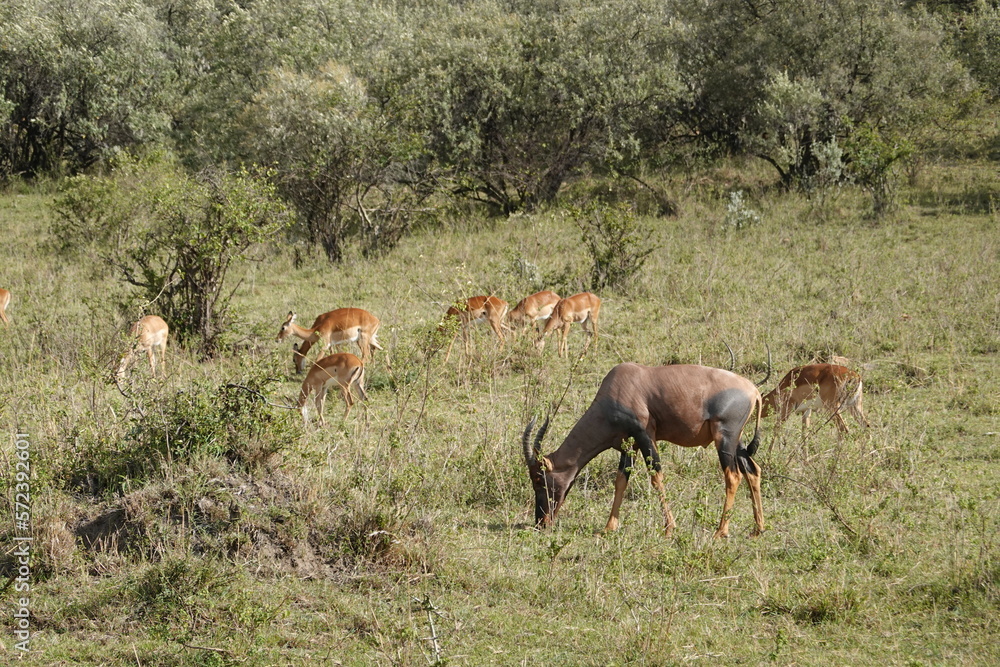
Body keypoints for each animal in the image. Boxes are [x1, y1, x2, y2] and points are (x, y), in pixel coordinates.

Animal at [523, 363, 766, 538]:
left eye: (539, 478)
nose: (541, 522)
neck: (619, 385)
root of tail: (753, 390)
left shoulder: (645, 435)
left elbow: (656, 476)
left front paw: (669, 528)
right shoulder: (629, 443)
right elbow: (621, 480)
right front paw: (609, 528)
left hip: (724, 437)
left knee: (733, 476)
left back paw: (720, 531)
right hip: (737, 441)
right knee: (752, 470)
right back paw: (757, 529)